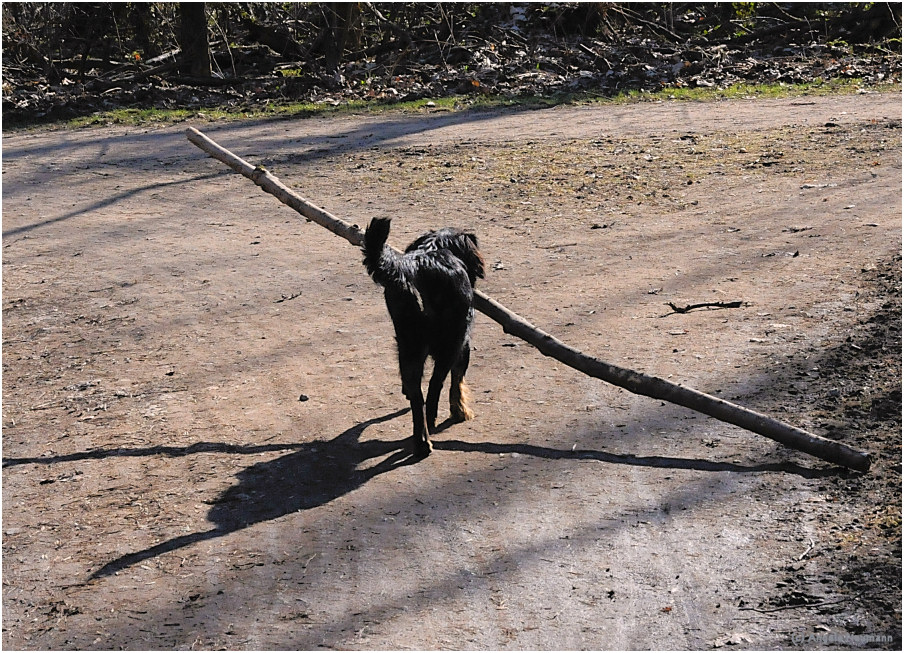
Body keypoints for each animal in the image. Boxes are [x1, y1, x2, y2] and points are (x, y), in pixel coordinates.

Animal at [362, 216, 484, 456]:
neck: (435, 247)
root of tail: (416, 267)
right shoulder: (462, 343)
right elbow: (456, 382)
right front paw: (460, 410)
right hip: (450, 344)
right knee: (434, 388)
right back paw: (430, 427)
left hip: (409, 346)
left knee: (417, 397)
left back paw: (421, 441)